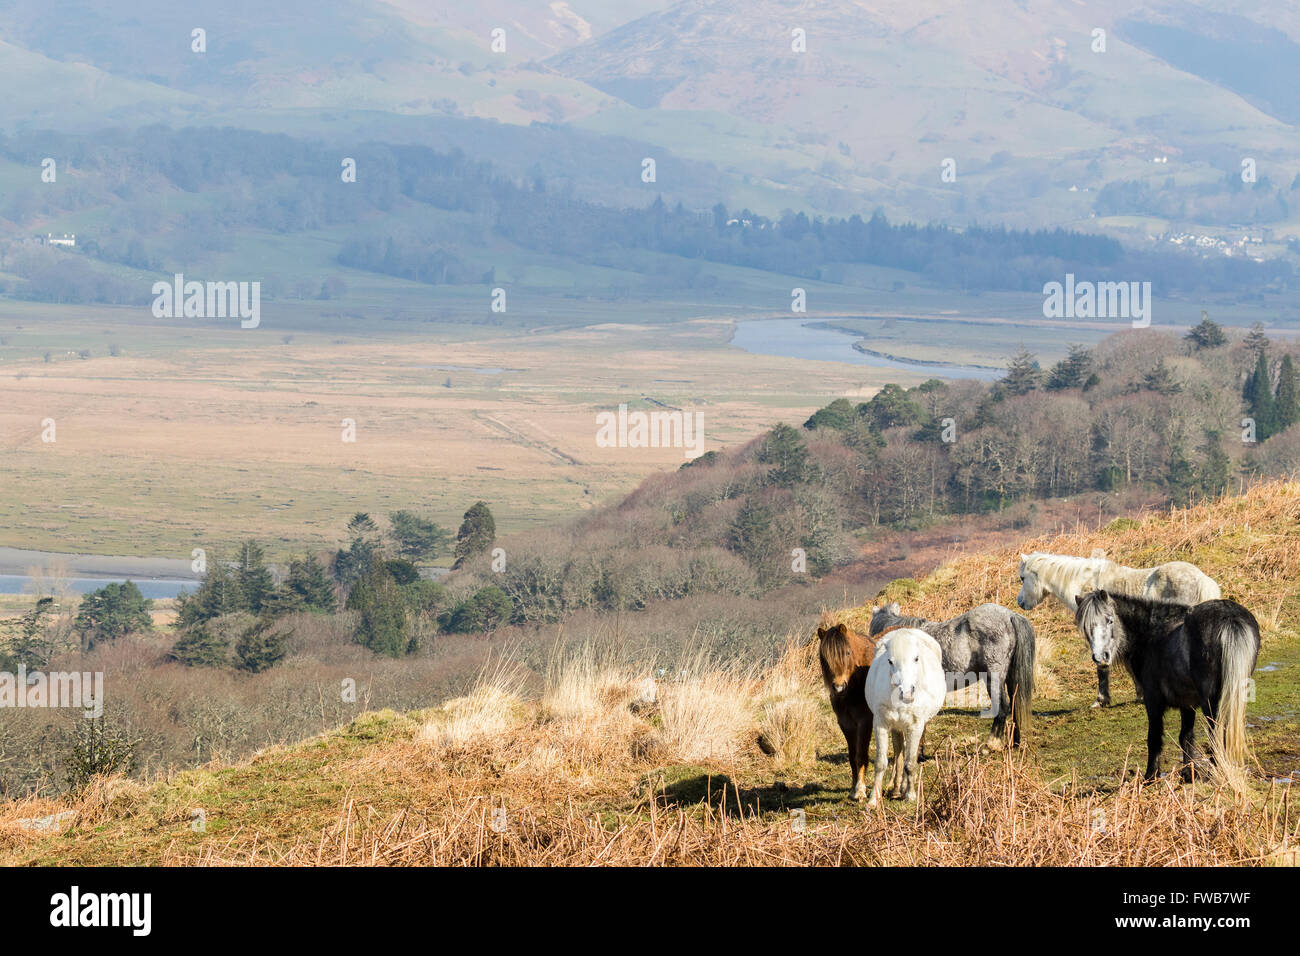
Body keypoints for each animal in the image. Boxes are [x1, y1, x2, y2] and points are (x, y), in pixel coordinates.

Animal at [816, 624, 878, 806]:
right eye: (824, 658)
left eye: (848, 652)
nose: (838, 687)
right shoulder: (846, 724)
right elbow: (852, 756)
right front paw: (853, 789)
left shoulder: (865, 722)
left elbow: (860, 755)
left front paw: (860, 791)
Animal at [863, 629, 946, 806]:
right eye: (890, 661)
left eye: (916, 658)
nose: (907, 693)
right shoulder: (881, 723)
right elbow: (881, 763)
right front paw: (873, 799)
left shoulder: (915, 726)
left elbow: (910, 763)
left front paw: (910, 795)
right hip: (896, 726)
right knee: (899, 751)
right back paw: (896, 789)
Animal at [868, 606, 1040, 749]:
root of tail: (1010, 616)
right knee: (1015, 705)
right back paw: (1015, 743)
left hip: (994, 678)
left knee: (1003, 707)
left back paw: (991, 744)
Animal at [1013, 548, 1216, 707]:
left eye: (1022, 578)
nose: (1020, 603)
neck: (1086, 583)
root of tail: (1202, 579)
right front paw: (1139, 694)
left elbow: (1102, 665)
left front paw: (1101, 700)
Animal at [1071, 590, 1253, 785]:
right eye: (1086, 628)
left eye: (1110, 620)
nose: (1101, 657)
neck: (1150, 633)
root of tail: (1229, 617)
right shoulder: (1187, 703)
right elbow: (1186, 737)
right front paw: (1188, 774)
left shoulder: (1153, 700)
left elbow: (1154, 737)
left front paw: (1151, 776)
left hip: (1211, 703)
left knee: (1216, 733)